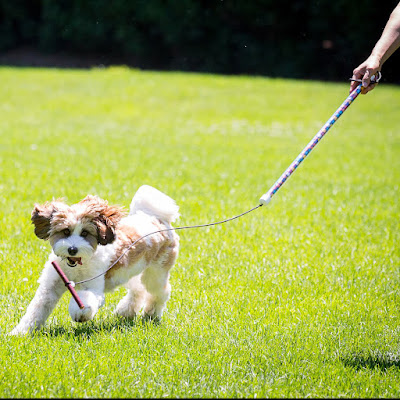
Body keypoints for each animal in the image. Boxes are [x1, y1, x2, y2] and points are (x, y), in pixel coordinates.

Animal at [9, 186, 180, 336]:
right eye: (66, 231)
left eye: (85, 233)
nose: (72, 249)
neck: (76, 267)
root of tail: (157, 218)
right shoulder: (50, 286)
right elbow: (37, 309)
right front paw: (20, 332)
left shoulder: (93, 286)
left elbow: (86, 299)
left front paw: (80, 313)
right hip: (131, 270)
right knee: (138, 289)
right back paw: (126, 312)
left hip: (156, 271)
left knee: (160, 291)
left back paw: (151, 314)